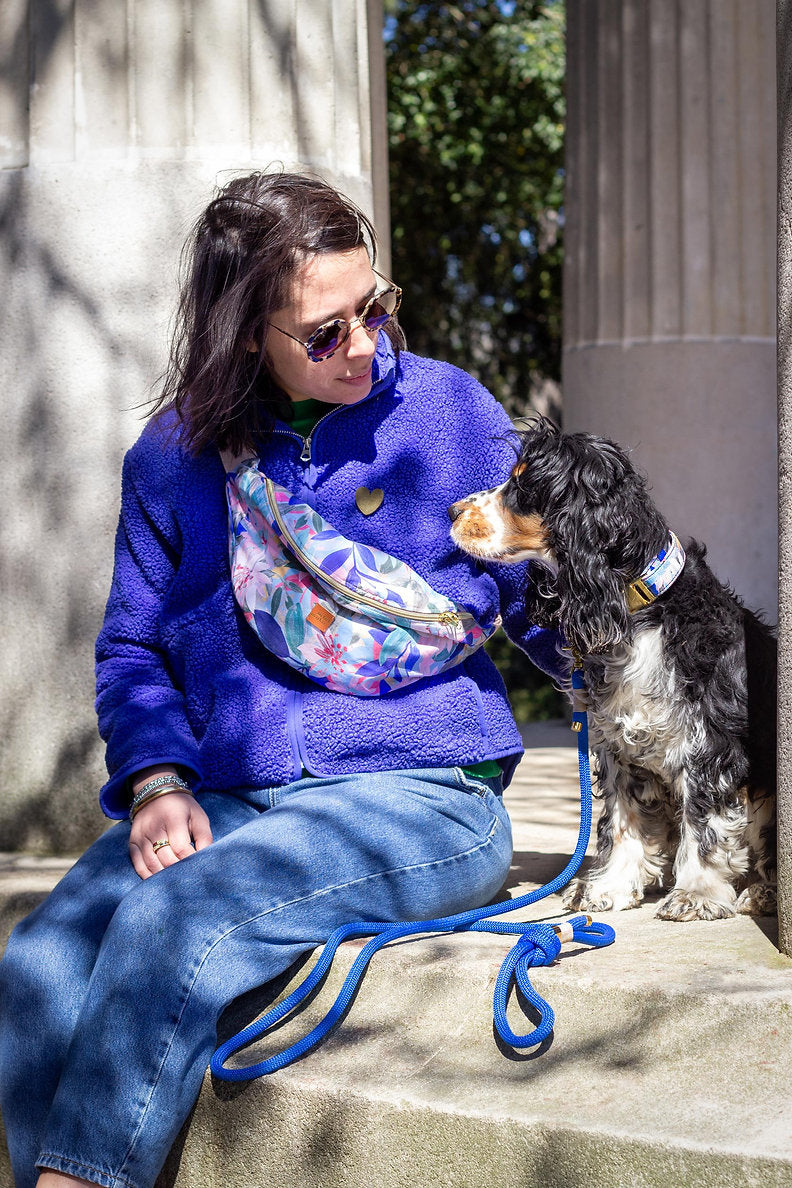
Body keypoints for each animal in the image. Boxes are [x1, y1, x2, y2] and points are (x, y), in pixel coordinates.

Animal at [448, 422, 778, 921]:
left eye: (523, 487)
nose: (452, 510)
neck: (638, 612)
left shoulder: (709, 744)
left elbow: (705, 822)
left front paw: (696, 893)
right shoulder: (617, 746)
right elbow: (623, 821)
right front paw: (608, 886)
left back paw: (761, 892)